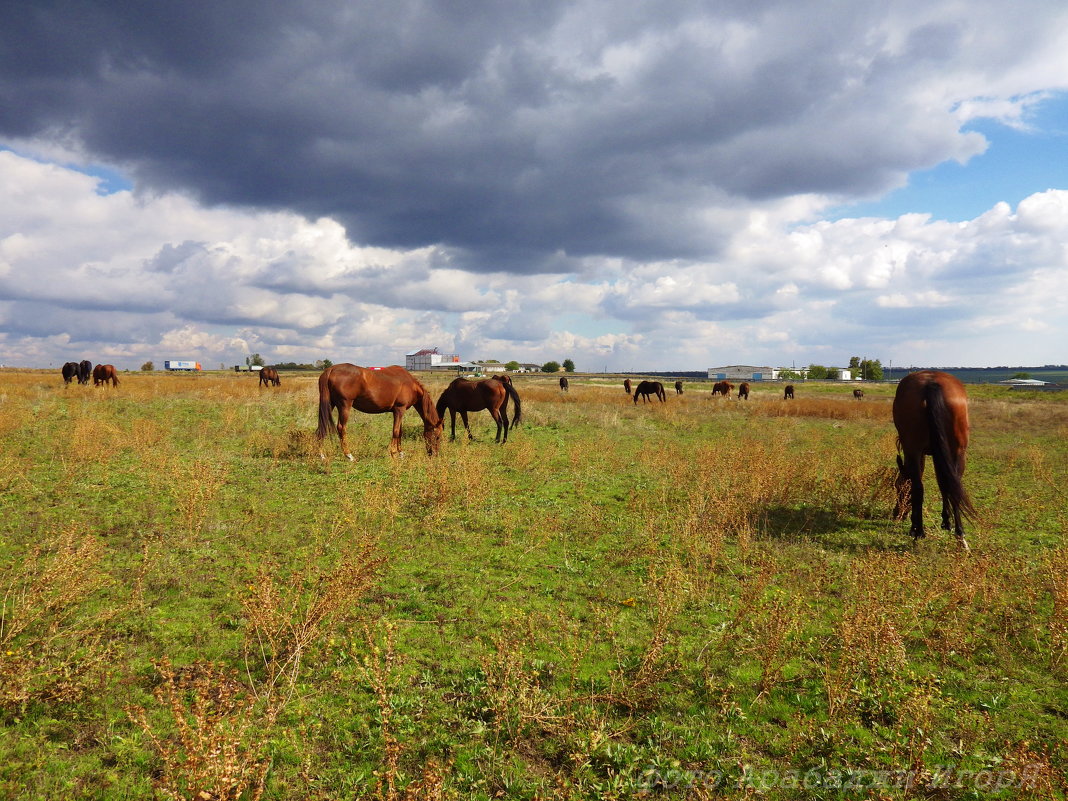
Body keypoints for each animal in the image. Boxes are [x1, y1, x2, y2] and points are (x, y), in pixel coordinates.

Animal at [892, 371, 978, 551]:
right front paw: (946, 520)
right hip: (958, 452)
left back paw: (918, 532)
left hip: (916, 450)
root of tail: (931, 384)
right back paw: (959, 535)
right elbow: (943, 484)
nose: (896, 514)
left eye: (898, 487)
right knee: (953, 487)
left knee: (919, 487)